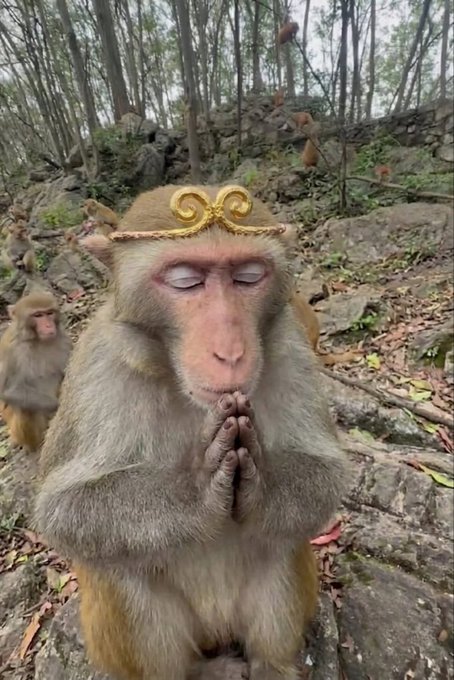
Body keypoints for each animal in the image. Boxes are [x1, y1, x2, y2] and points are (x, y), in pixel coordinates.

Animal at [0, 292, 72, 452]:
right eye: (38, 315)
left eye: (49, 313)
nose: (48, 325)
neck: (36, 339)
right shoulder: (12, 351)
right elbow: (9, 391)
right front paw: (58, 407)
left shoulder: (63, 340)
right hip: (18, 432)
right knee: (26, 408)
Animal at [35, 184, 348, 680]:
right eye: (185, 280)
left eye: (247, 277)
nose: (230, 351)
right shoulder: (96, 365)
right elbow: (62, 506)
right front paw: (196, 488)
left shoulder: (292, 346)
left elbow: (325, 470)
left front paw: (260, 481)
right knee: (118, 564)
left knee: (280, 540)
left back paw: (272, 666)